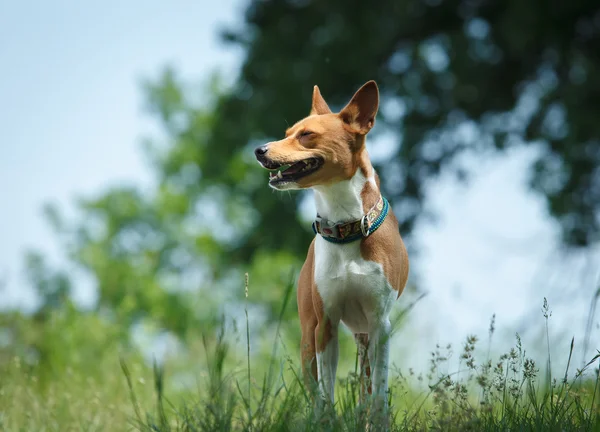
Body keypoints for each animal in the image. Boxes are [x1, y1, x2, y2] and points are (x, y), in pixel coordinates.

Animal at [253, 80, 408, 416]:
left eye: (306, 134)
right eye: (287, 132)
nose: (259, 150)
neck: (346, 227)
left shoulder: (380, 324)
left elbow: (378, 395)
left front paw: (378, 420)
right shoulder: (325, 324)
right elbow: (326, 393)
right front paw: (327, 420)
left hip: (365, 336)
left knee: (366, 389)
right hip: (308, 338)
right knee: (315, 388)